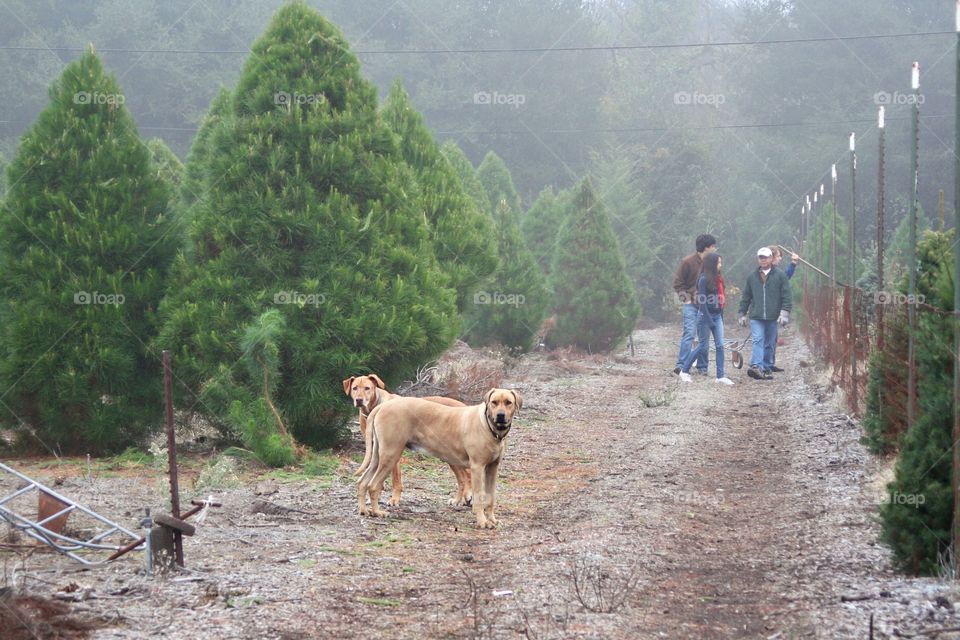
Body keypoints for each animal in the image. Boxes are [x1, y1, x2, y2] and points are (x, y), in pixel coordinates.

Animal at [342, 376, 472, 504]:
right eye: (354, 388)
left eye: (367, 388)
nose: (359, 400)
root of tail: (463, 405)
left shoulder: (393, 453)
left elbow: (395, 479)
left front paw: (394, 499)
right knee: (463, 476)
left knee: (467, 474)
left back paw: (467, 496)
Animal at [356, 388, 520, 528]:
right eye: (494, 402)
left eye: (508, 402)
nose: (500, 415)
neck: (489, 426)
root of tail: (382, 406)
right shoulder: (478, 468)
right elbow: (479, 498)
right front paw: (482, 521)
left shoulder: (492, 468)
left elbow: (491, 497)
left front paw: (492, 520)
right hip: (391, 455)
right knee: (373, 485)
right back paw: (377, 512)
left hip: (378, 456)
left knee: (363, 482)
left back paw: (364, 510)